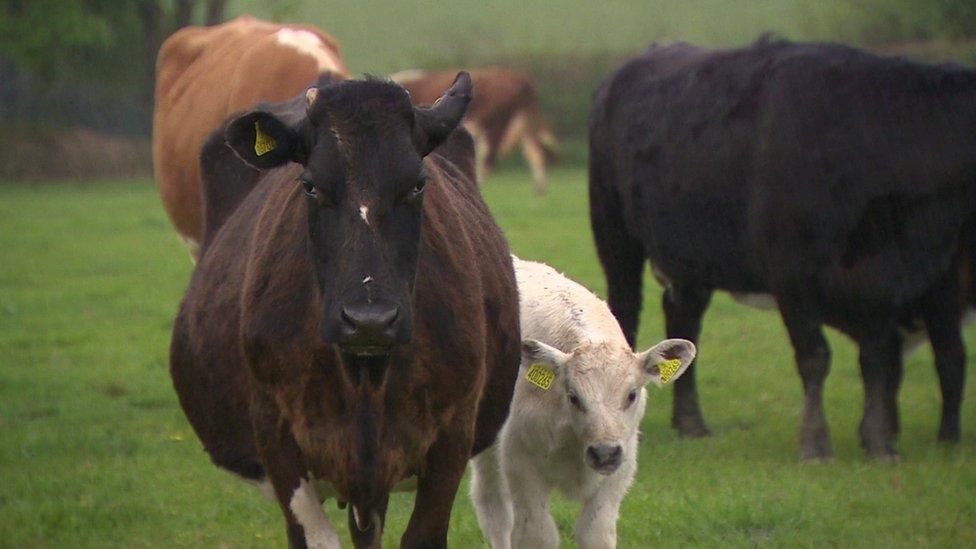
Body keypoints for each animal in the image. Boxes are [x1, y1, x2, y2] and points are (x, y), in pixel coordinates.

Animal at [172, 74, 524, 548]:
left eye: (418, 184)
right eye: (310, 185)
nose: (368, 320)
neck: (365, 376)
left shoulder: (454, 431)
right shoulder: (275, 430)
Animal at [388, 67, 556, 194]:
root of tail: (521, 79)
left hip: (495, 124)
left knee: (489, 159)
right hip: (525, 123)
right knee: (536, 153)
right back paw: (540, 190)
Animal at [470, 258, 692, 548]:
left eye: (632, 395)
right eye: (573, 396)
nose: (604, 453)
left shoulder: (619, 471)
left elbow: (595, 532)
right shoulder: (520, 461)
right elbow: (537, 534)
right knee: (492, 504)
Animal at [588, 37, 976, 458]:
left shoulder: (884, 281)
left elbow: (876, 358)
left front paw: (878, 443)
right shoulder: (792, 273)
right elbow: (815, 357)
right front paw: (815, 443)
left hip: (694, 256)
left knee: (683, 320)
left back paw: (691, 424)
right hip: (615, 233)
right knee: (625, 310)